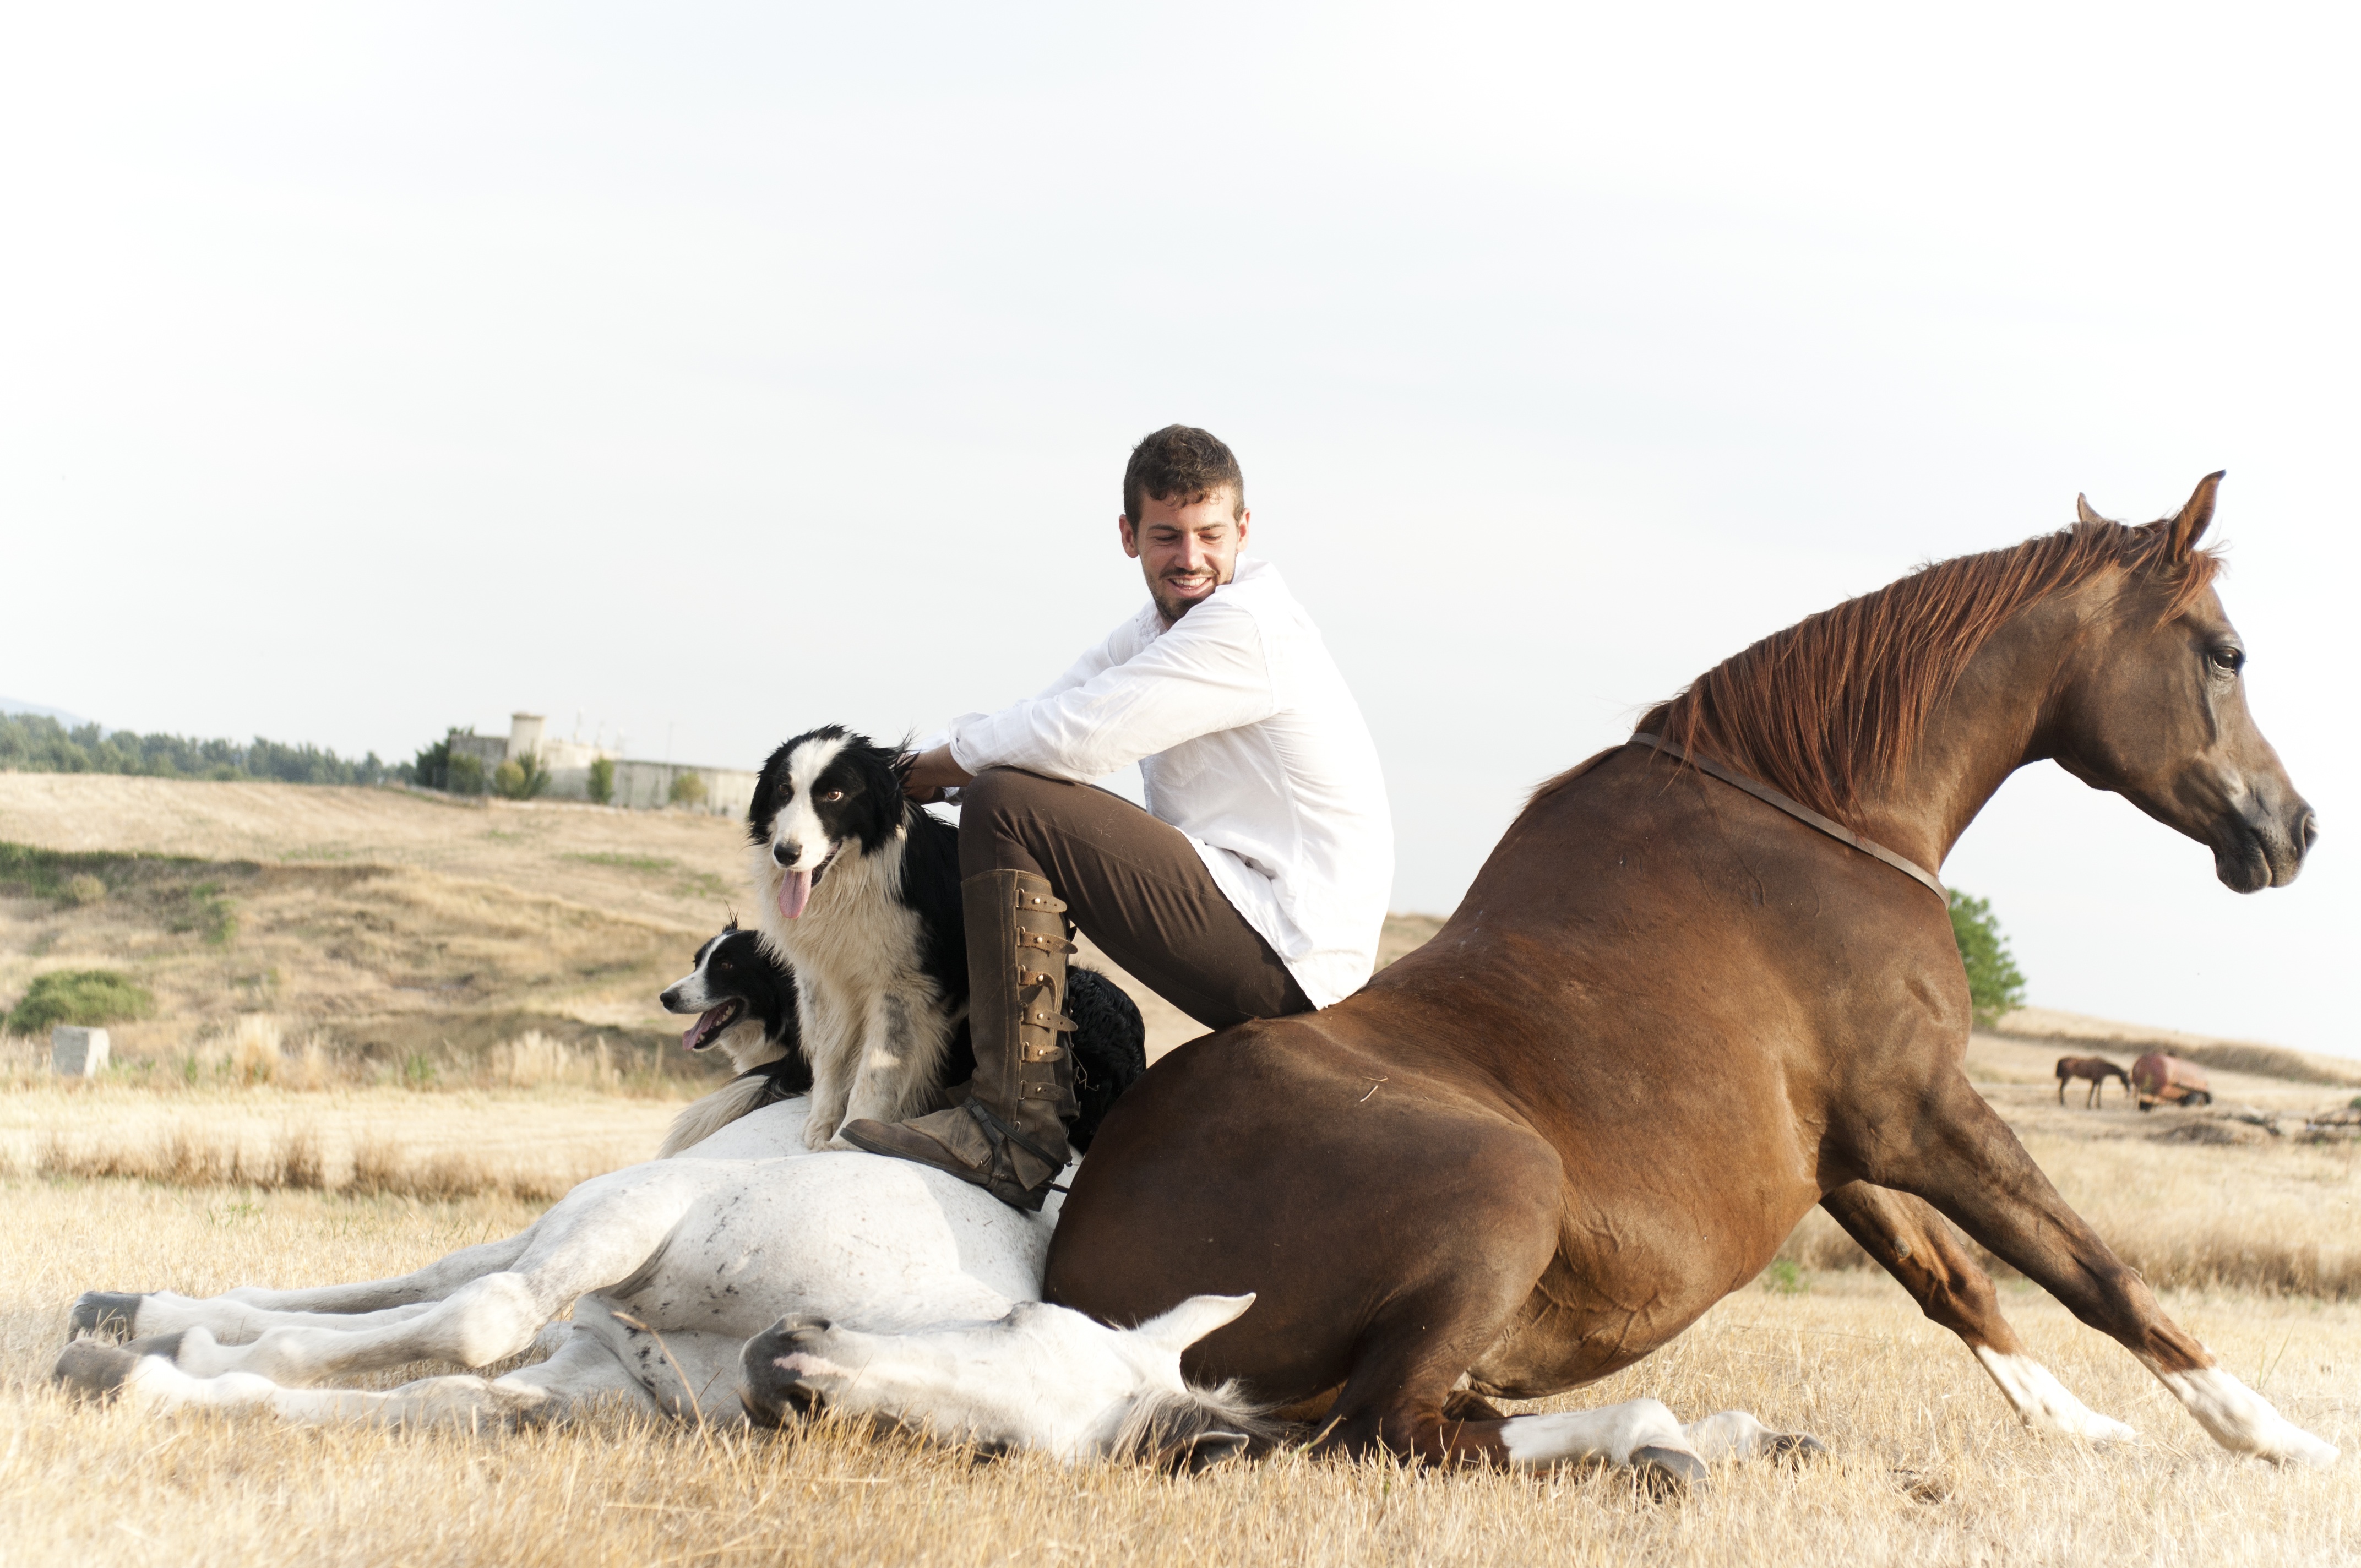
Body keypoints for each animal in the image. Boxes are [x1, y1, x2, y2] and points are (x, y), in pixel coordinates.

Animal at [2059, 1058, 2134, 1109]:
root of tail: (2063, 1060)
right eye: (2127, 1079)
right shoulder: (2095, 1081)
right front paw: (2091, 1105)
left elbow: (2097, 1092)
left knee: (2061, 1088)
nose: (2129, 1091)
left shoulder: (2098, 1081)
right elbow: (2094, 1092)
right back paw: (2063, 1103)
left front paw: (2096, 1105)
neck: (2103, 1067)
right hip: (2067, 1077)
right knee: (2062, 1088)